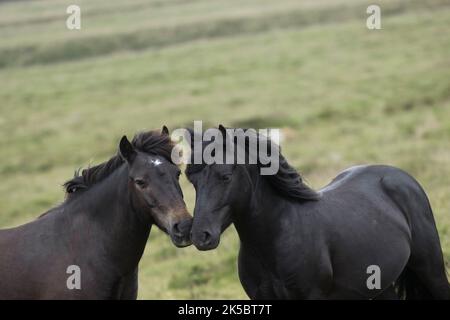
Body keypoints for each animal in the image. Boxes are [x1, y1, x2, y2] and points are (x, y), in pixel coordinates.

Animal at [185, 125, 446, 300]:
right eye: (192, 181)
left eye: (225, 176)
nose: (200, 236)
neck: (274, 241)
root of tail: (398, 175)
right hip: (381, 286)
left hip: (431, 270)